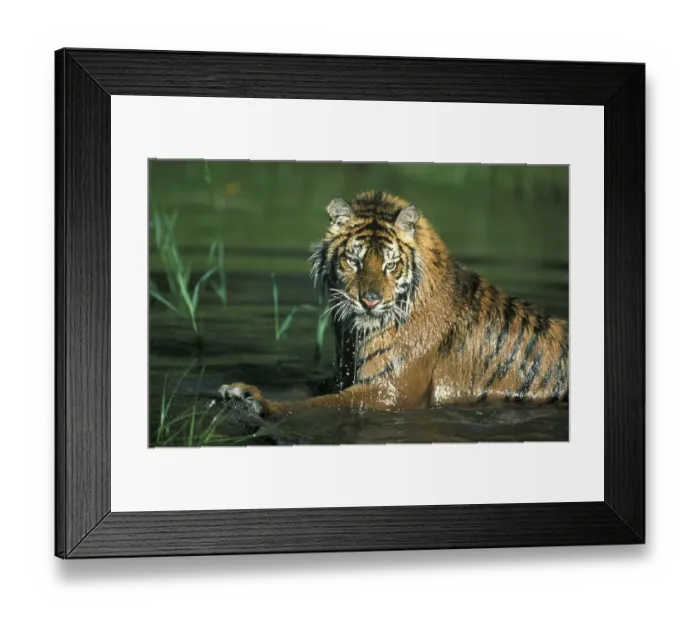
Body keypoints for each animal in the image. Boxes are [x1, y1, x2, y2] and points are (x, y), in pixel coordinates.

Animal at [219, 190, 569, 421]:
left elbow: (319, 404)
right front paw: (240, 389)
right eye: (354, 261)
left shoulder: (391, 391)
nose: (370, 300)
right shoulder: (342, 373)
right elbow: (301, 389)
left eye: (390, 265)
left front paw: (258, 403)